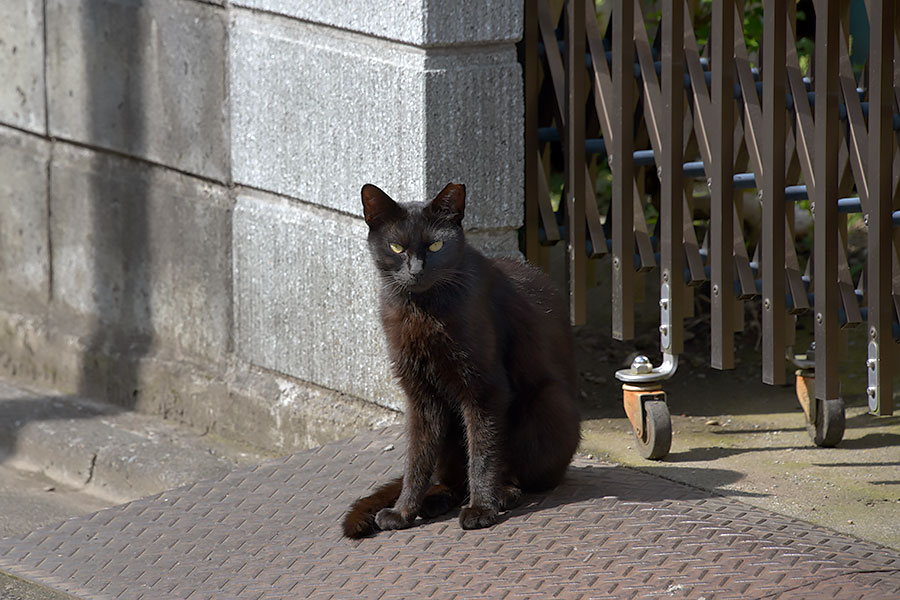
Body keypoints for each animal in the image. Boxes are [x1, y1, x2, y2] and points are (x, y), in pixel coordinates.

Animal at [342, 183, 580, 540]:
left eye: (436, 245)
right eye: (397, 247)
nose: (416, 271)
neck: (422, 310)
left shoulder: (485, 389)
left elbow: (483, 452)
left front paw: (481, 508)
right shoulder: (420, 397)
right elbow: (417, 459)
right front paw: (403, 511)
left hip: (550, 401)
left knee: (515, 471)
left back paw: (503, 493)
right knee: (448, 478)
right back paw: (433, 500)